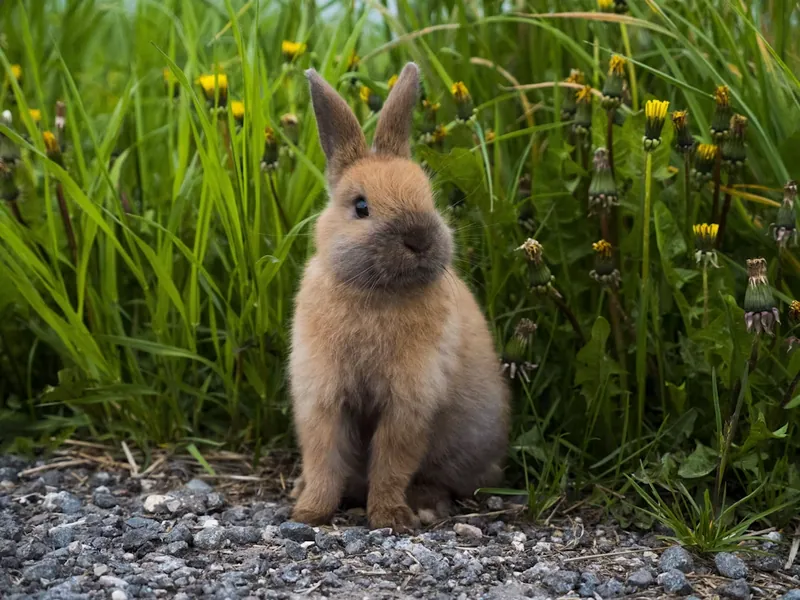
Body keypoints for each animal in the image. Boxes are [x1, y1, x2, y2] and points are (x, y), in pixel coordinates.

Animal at [289, 62, 510, 532]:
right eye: (360, 207)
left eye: (429, 196)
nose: (420, 238)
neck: (376, 292)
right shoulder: (322, 397)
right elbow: (323, 458)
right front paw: (310, 512)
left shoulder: (409, 402)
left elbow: (392, 462)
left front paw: (390, 517)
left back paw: (426, 504)